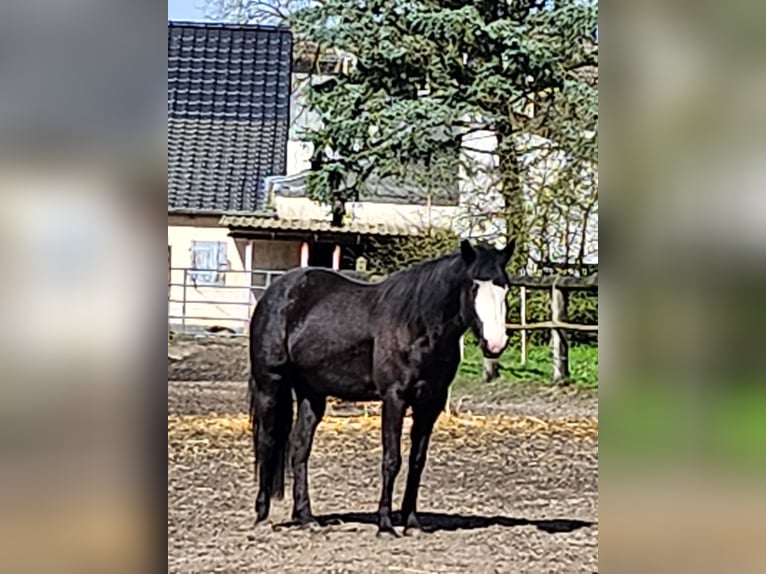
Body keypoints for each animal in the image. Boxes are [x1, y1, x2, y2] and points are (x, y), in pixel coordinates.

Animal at [248, 238, 514, 537]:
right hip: (270, 384)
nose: (495, 343)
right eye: (474, 286)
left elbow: (417, 462)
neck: (417, 325)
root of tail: (276, 292)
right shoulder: (394, 398)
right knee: (267, 441)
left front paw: (412, 522)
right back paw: (262, 517)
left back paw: (306, 517)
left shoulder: (430, 402)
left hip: (312, 394)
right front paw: (385, 525)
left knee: (299, 447)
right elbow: (392, 460)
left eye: (504, 286)